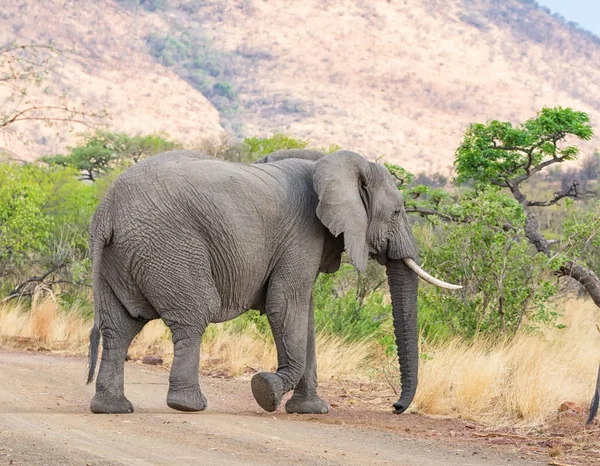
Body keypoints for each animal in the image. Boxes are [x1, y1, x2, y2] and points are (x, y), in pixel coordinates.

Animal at [85, 148, 460, 416]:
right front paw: (266, 390)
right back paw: (189, 405)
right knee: (192, 317)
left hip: (121, 257)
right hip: (170, 248)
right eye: (396, 213)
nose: (395, 407)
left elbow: (304, 316)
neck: (330, 162)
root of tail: (107, 211)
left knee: (119, 327)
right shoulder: (303, 233)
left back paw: (112, 408)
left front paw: (310, 410)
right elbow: (286, 305)